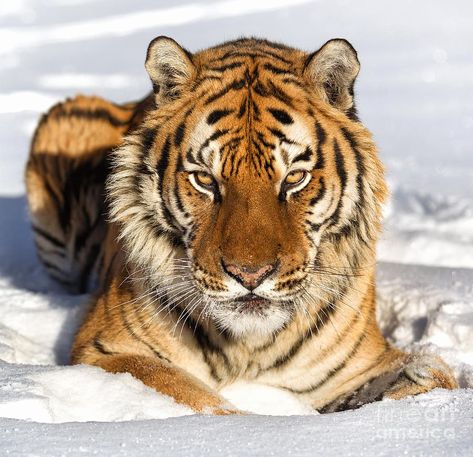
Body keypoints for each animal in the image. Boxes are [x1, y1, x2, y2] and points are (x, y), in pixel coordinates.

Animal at [24, 36, 456, 414]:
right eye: (206, 180)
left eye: (294, 178)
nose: (251, 275)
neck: (251, 346)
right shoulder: (107, 350)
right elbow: (204, 402)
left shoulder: (360, 366)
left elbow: (436, 374)